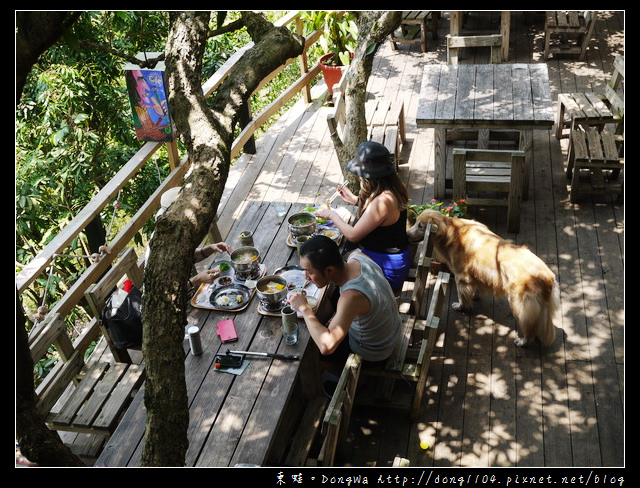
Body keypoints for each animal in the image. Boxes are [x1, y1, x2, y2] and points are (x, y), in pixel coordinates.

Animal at [408, 210, 556, 346]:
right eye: (416, 222)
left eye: (421, 226)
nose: (407, 234)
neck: (452, 231)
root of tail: (547, 276)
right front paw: (475, 295)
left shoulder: (461, 276)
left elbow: (462, 295)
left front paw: (461, 306)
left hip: (520, 304)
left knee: (529, 328)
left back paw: (523, 341)